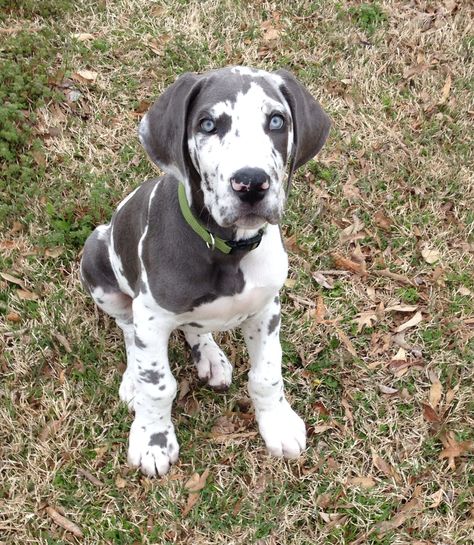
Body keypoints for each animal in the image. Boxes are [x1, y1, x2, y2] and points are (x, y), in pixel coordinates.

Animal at [79, 65, 330, 476]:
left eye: (277, 120)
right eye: (208, 124)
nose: (251, 183)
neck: (226, 248)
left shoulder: (267, 310)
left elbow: (267, 374)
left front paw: (276, 423)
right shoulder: (152, 316)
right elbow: (157, 384)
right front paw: (153, 441)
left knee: (195, 328)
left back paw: (211, 356)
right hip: (98, 258)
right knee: (127, 328)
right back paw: (132, 379)